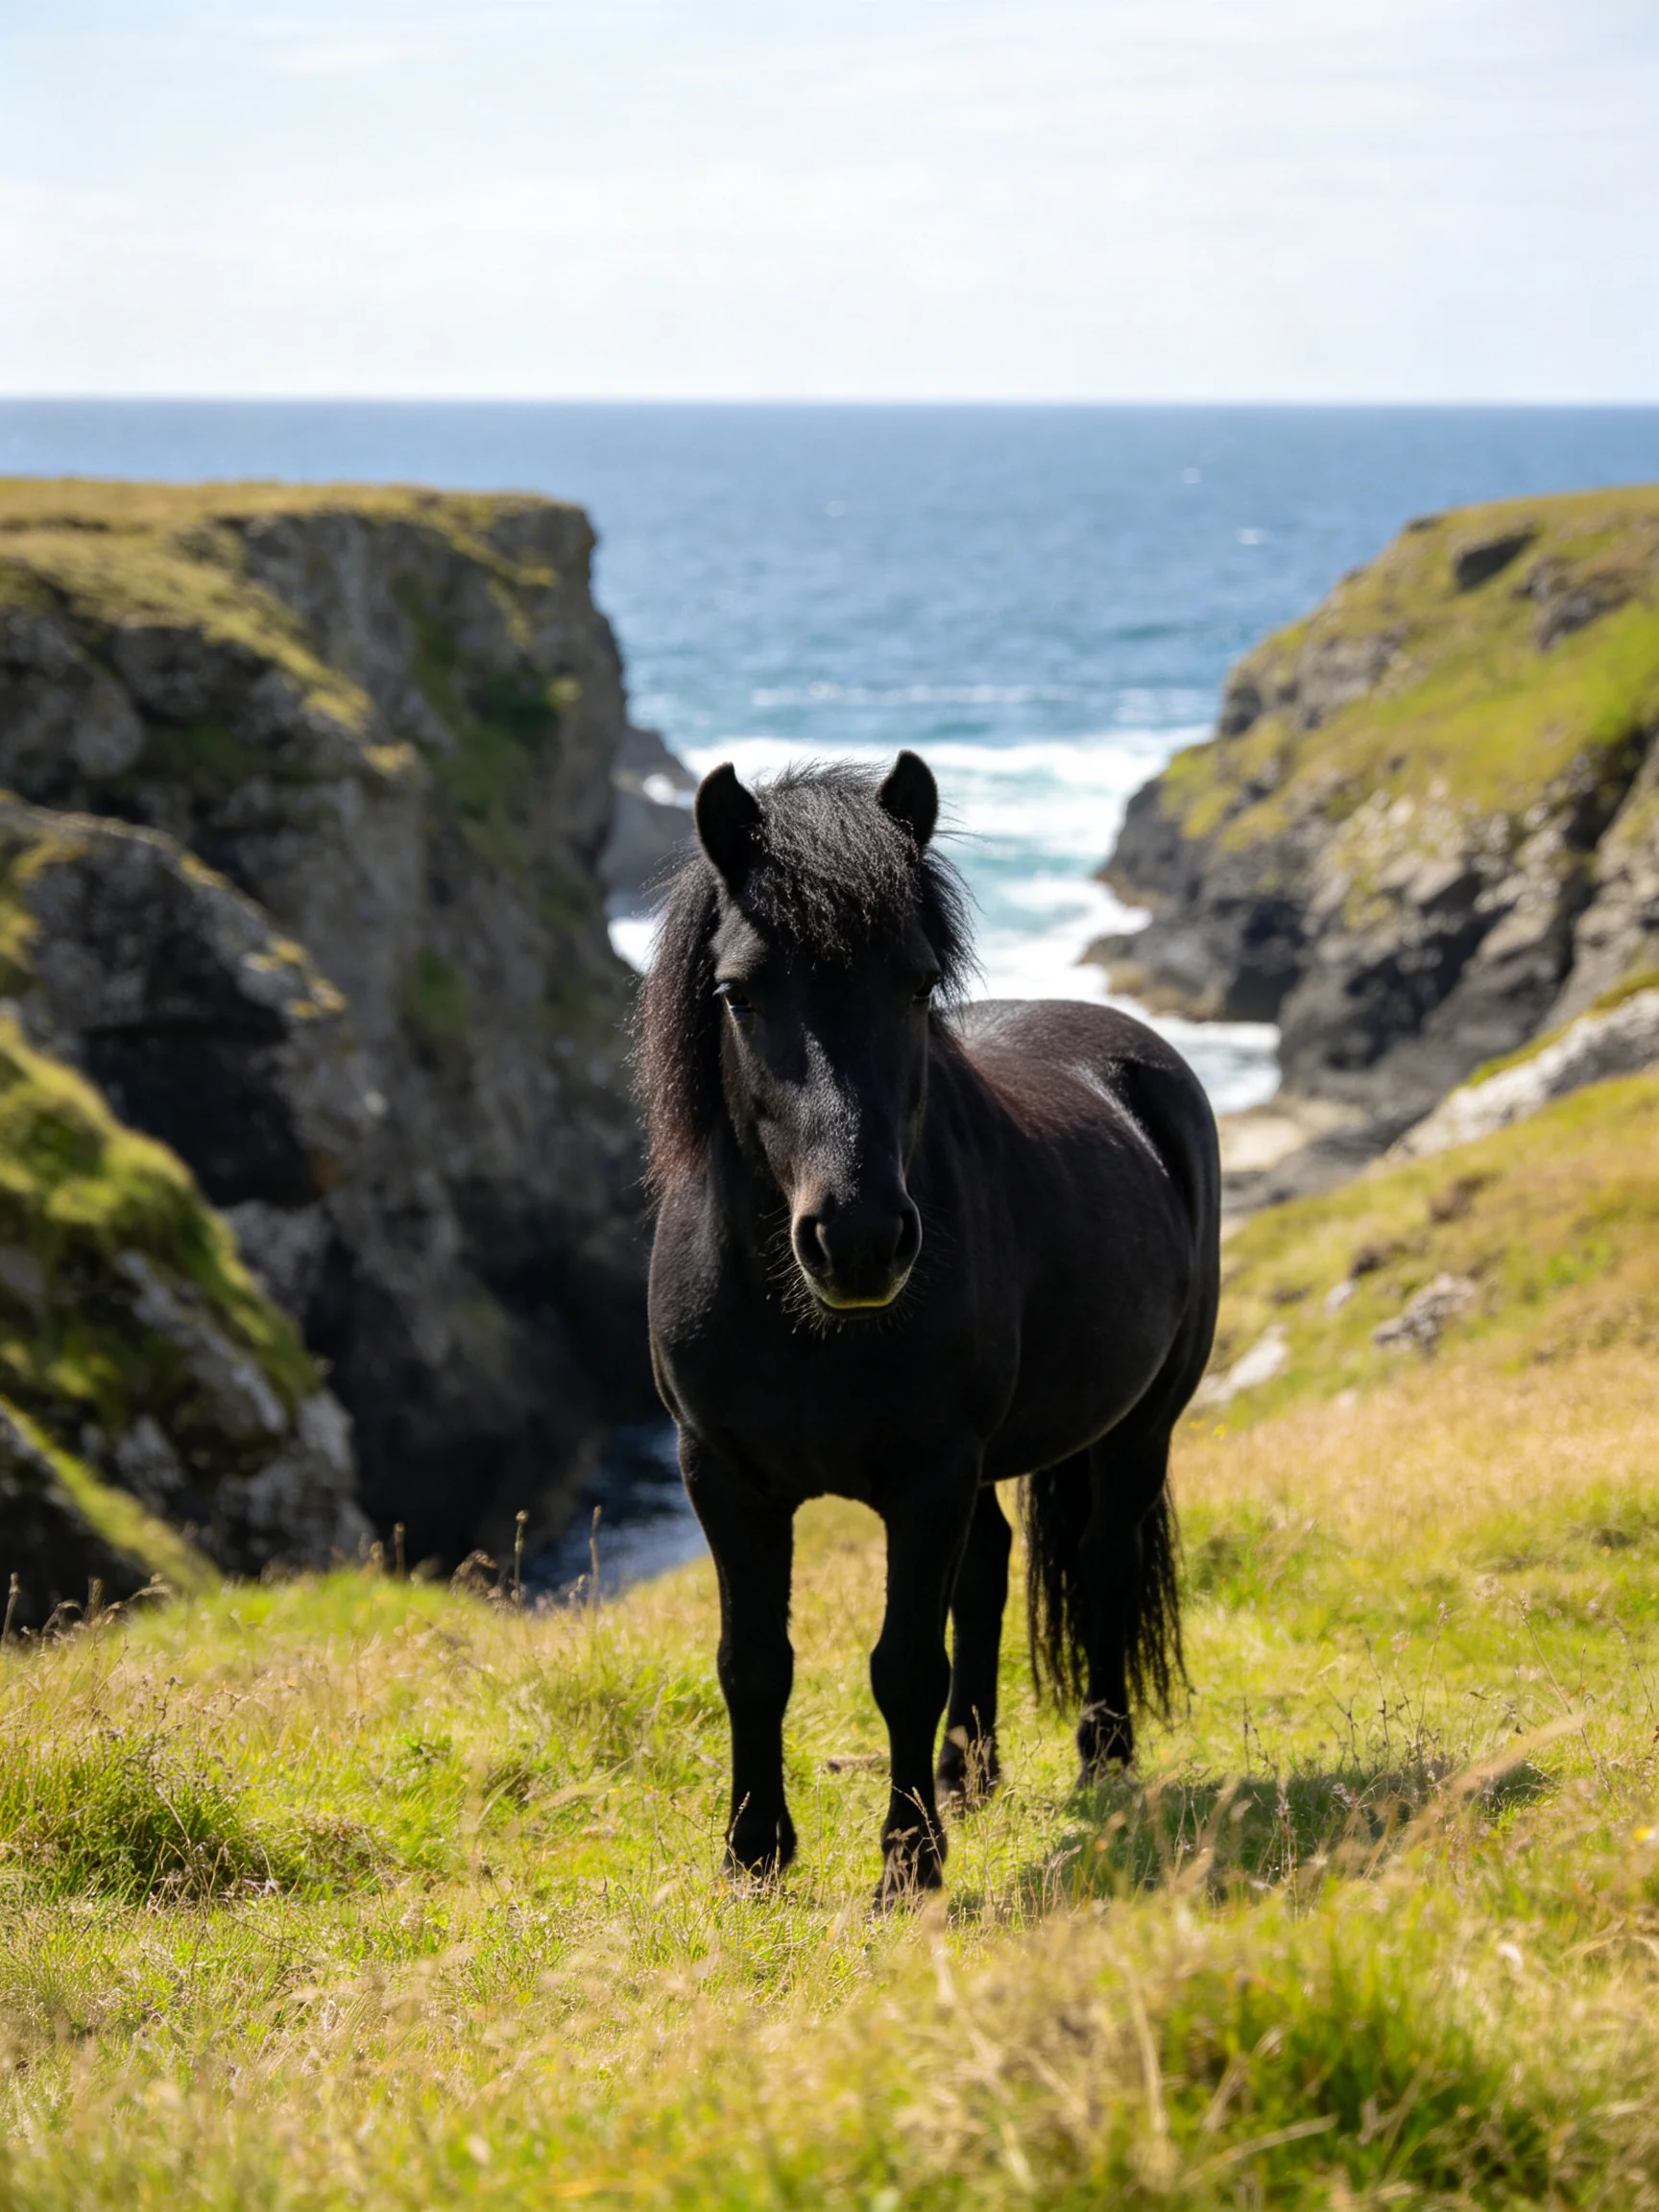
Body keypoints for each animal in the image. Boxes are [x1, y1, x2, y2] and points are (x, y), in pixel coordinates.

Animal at [637, 751, 1220, 1903]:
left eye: (913, 983)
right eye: (737, 992)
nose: (859, 1240)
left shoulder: (929, 1473)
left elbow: (905, 1664)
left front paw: (907, 1866)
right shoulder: (718, 1473)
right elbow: (752, 1663)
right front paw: (755, 1855)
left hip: (1139, 1428)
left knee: (1103, 1565)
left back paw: (1103, 1760)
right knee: (992, 1568)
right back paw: (969, 1771)